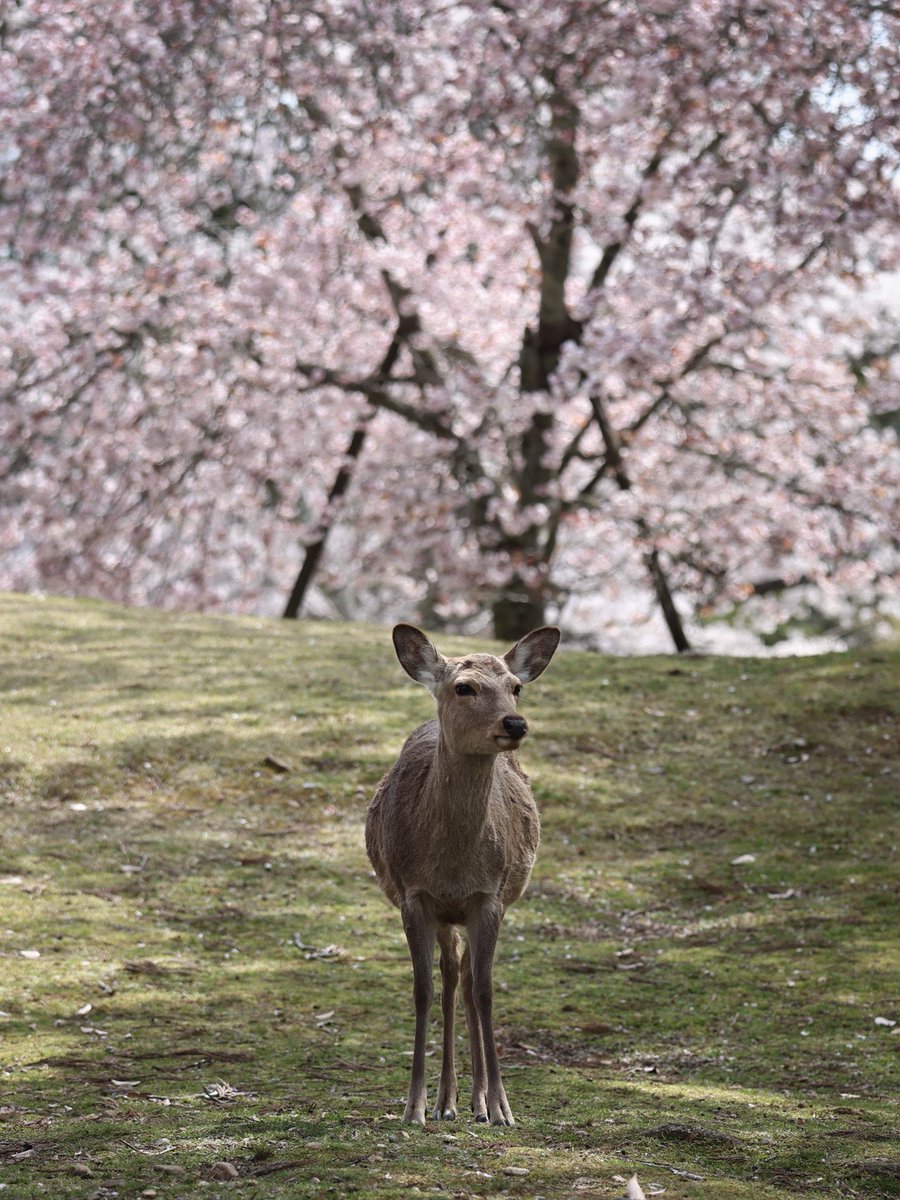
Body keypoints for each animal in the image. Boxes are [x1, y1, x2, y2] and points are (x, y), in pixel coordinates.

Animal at [365, 622, 560, 1126]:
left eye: (516, 687)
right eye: (464, 687)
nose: (515, 724)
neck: (452, 864)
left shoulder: (489, 897)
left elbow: (486, 991)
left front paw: (502, 1108)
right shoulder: (414, 895)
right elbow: (423, 990)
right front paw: (413, 1106)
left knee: (468, 982)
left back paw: (475, 1101)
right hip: (443, 915)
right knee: (451, 976)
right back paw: (446, 1101)